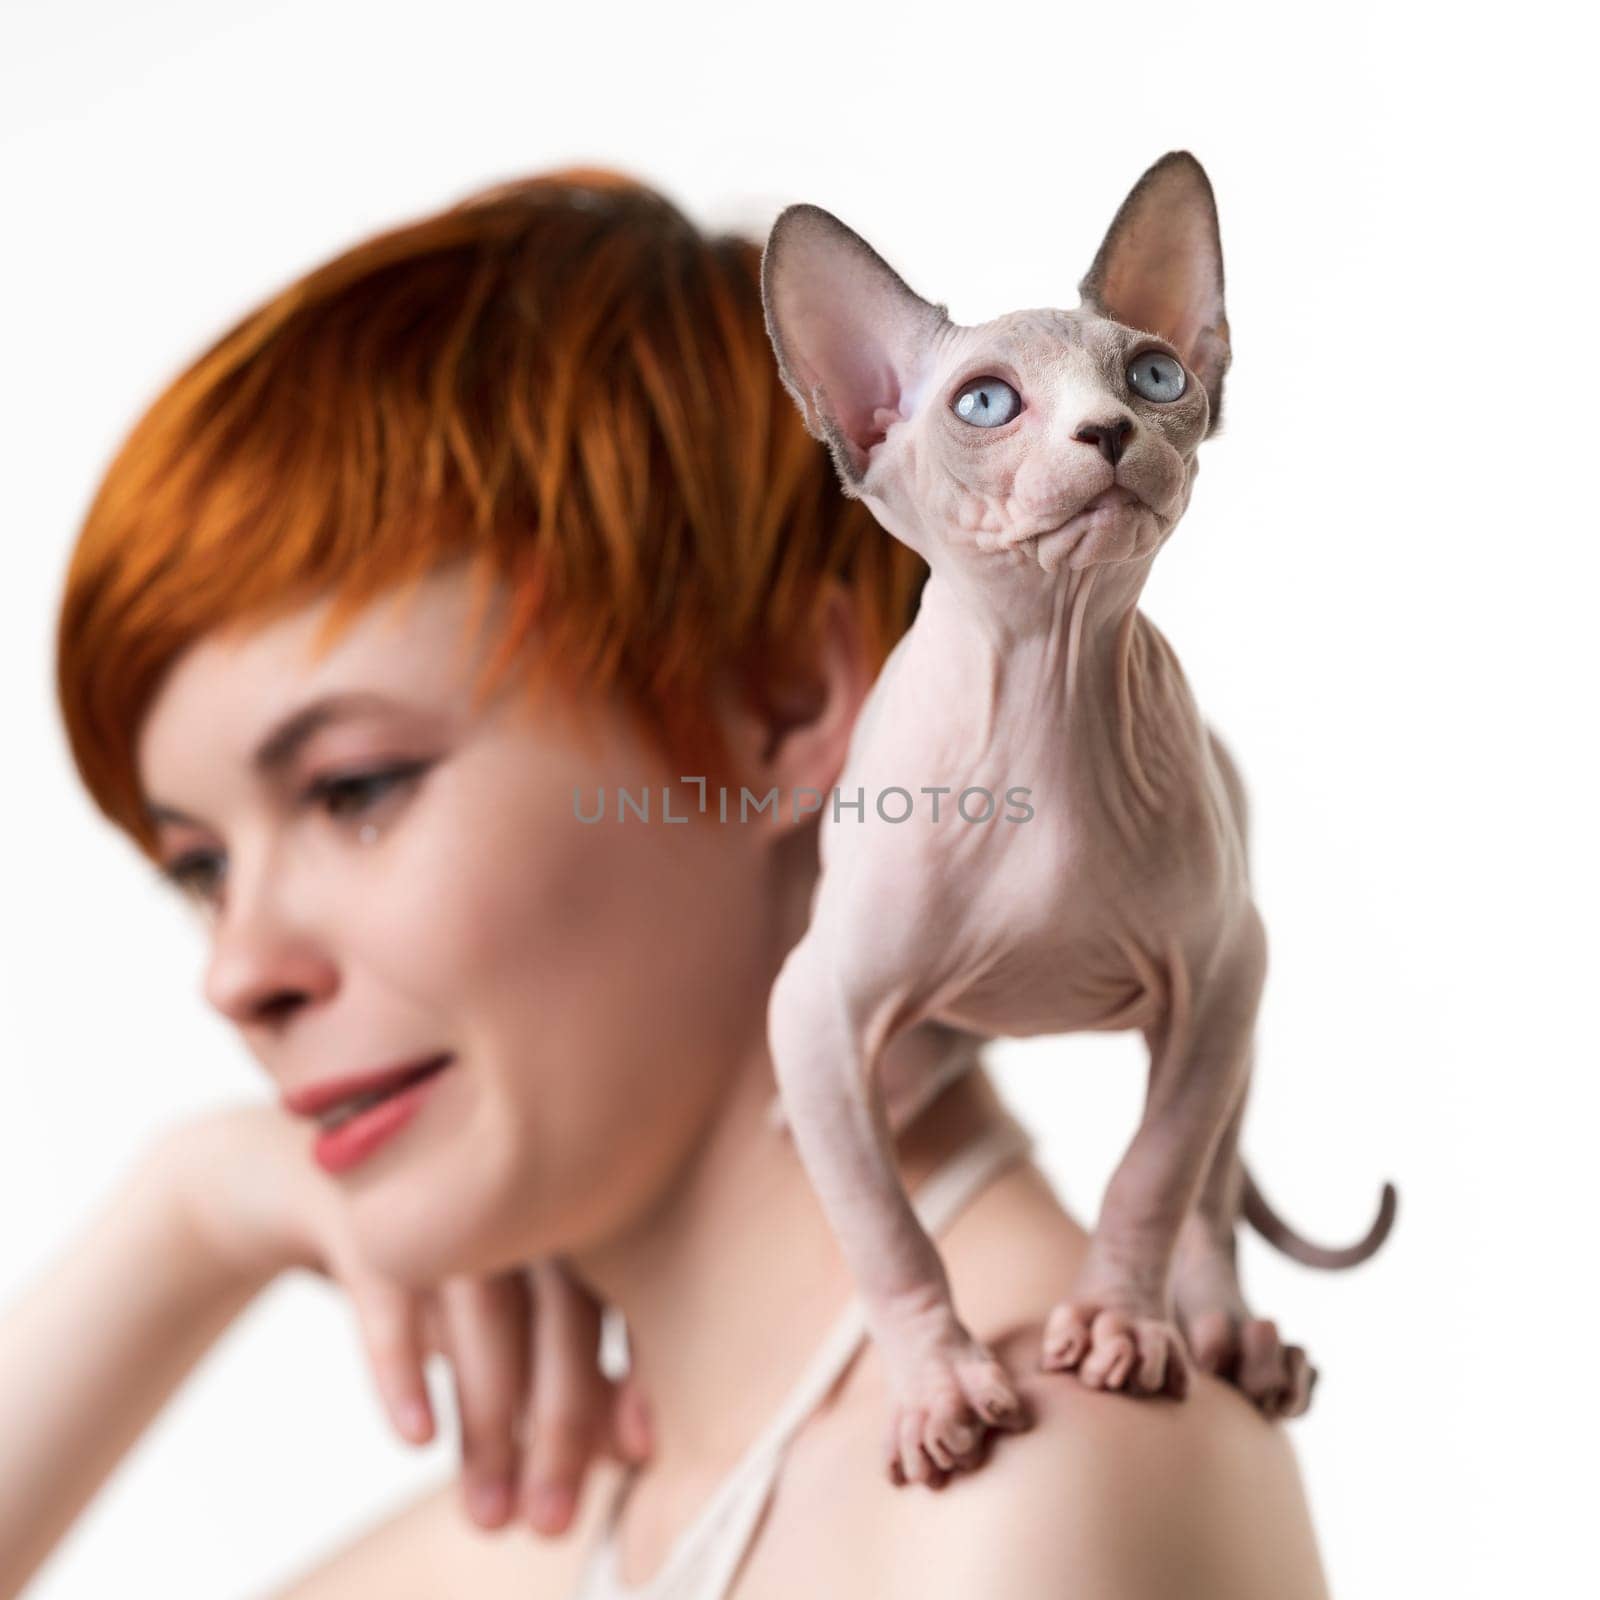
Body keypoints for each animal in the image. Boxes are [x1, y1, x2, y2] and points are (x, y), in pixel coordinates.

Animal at [755, 150, 1395, 1484]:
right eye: (986, 403)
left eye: (1153, 375)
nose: (1110, 431)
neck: (1051, 692)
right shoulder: (816, 1010)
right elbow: (883, 1226)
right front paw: (939, 1384)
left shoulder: (1222, 972)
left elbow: (1157, 1171)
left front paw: (1117, 1322)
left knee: (1212, 1185)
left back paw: (1227, 1334)